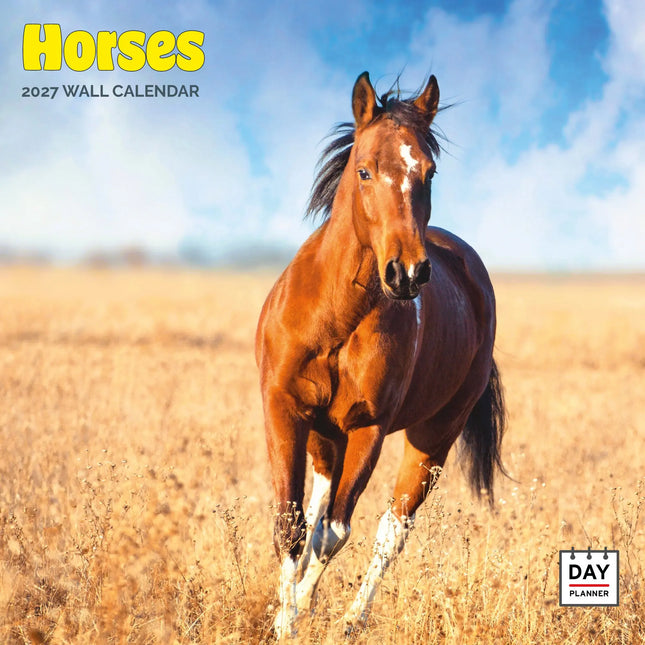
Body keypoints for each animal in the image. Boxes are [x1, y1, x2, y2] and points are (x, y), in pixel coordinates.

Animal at [255, 70, 507, 638]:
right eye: (365, 170)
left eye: (429, 172)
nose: (407, 272)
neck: (335, 319)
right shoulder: (285, 409)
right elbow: (293, 525)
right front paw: (282, 618)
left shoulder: (368, 428)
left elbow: (335, 533)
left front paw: (294, 620)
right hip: (325, 437)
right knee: (317, 511)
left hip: (431, 439)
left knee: (392, 530)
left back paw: (350, 622)